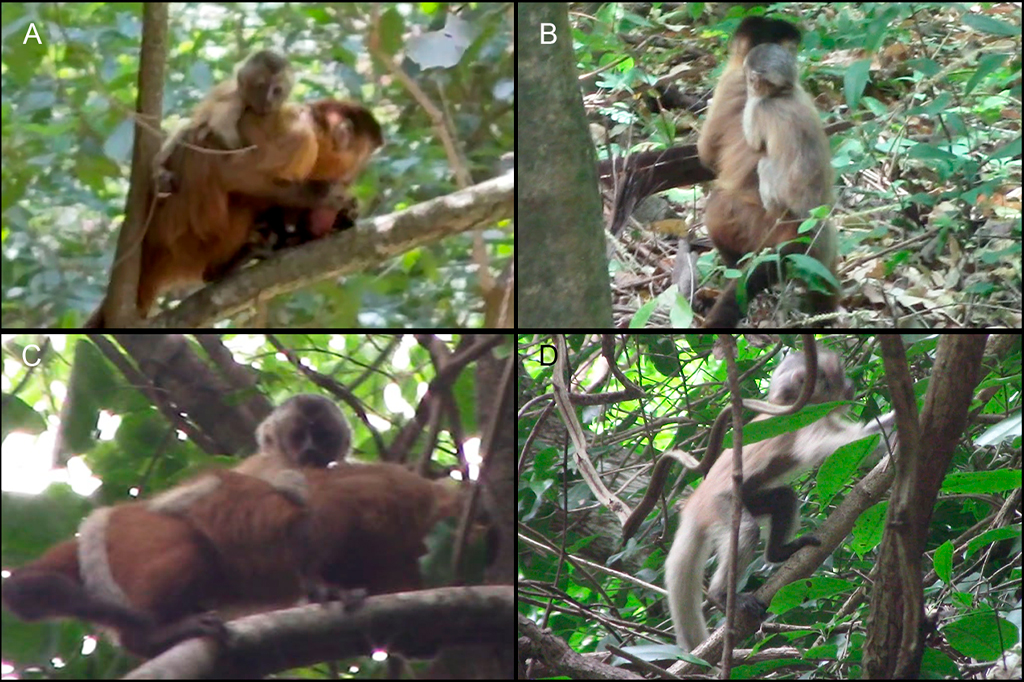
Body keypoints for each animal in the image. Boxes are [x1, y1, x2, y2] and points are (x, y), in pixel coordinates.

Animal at [153, 50, 294, 195]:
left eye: (277, 91)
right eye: (261, 87)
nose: (269, 100)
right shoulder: (235, 100)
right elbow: (220, 126)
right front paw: (243, 155)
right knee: (185, 127)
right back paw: (159, 169)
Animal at [658, 347, 895, 651]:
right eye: (835, 381)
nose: (851, 387)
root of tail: (692, 506)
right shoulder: (807, 420)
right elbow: (847, 446)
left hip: (747, 499)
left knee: (784, 497)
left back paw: (778, 553)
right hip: (718, 506)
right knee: (746, 530)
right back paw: (722, 596)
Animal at [695, 17, 836, 327]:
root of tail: (796, 228)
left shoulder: (730, 81)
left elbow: (707, 153)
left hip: (754, 224)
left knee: (718, 209)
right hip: (819, 244)